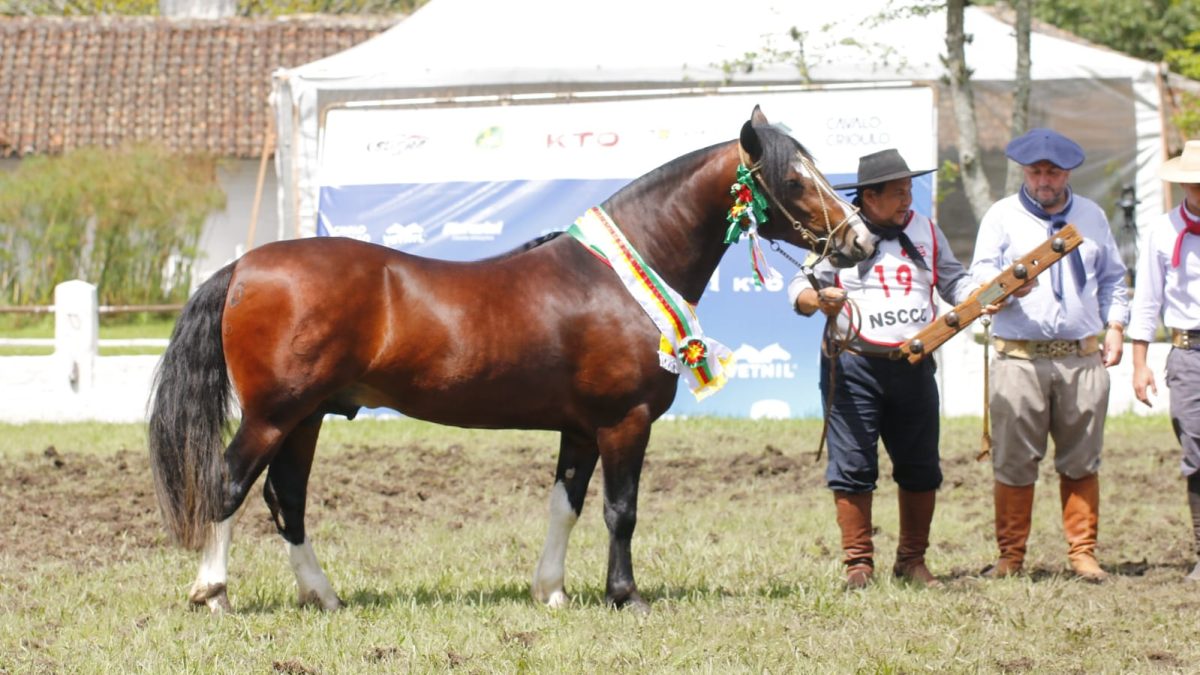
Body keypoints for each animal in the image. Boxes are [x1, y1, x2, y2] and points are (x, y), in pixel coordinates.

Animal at [147, 103, 873, 610]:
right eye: (792, 179)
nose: (861, 241)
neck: (617, 277)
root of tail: (243, 266)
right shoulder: (625, 421)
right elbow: (621, 510)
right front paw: (625, 595)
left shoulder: (581, 428)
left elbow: (565, 505)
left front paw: (550, 590)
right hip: (274, 415)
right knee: (227, 484)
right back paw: (212, 592)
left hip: (307, 417)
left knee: (285, 498)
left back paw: (323, 595)